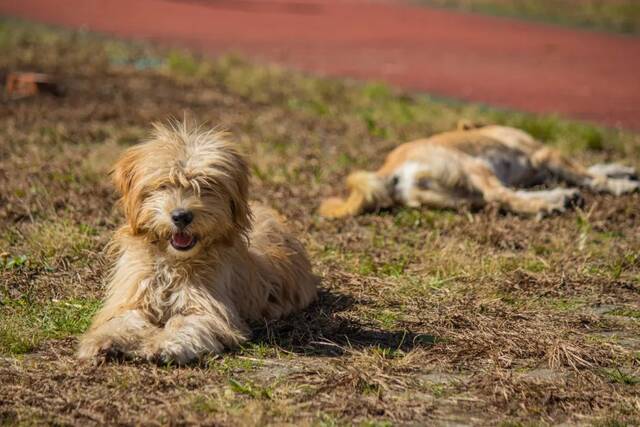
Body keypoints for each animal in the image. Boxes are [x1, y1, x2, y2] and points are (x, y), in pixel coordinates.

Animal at [322, 123, 636, 217]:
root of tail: (387, 171)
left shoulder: (545, 169)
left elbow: (594, 167)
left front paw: (624, 170)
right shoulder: (546, 155)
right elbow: (592, 175)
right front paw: (622, 184)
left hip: (461, 195)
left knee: (499, 199)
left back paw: (558, 197)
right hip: (473, 165)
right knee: (502, 196)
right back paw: (555, 201)